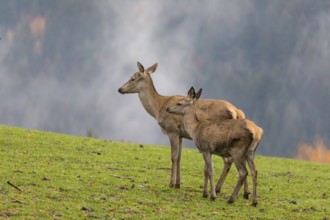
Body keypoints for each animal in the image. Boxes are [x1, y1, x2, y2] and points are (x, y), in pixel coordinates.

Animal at [118, 62, 245, 191]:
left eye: (132, 78)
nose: (120, 89)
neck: (158, 108)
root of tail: (236, 112)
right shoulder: (181, 135)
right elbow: (179, 158)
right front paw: (178, 183)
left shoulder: (172, 130)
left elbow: (173, 157)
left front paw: (171, 183)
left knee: (229, 160)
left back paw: (218, 188)